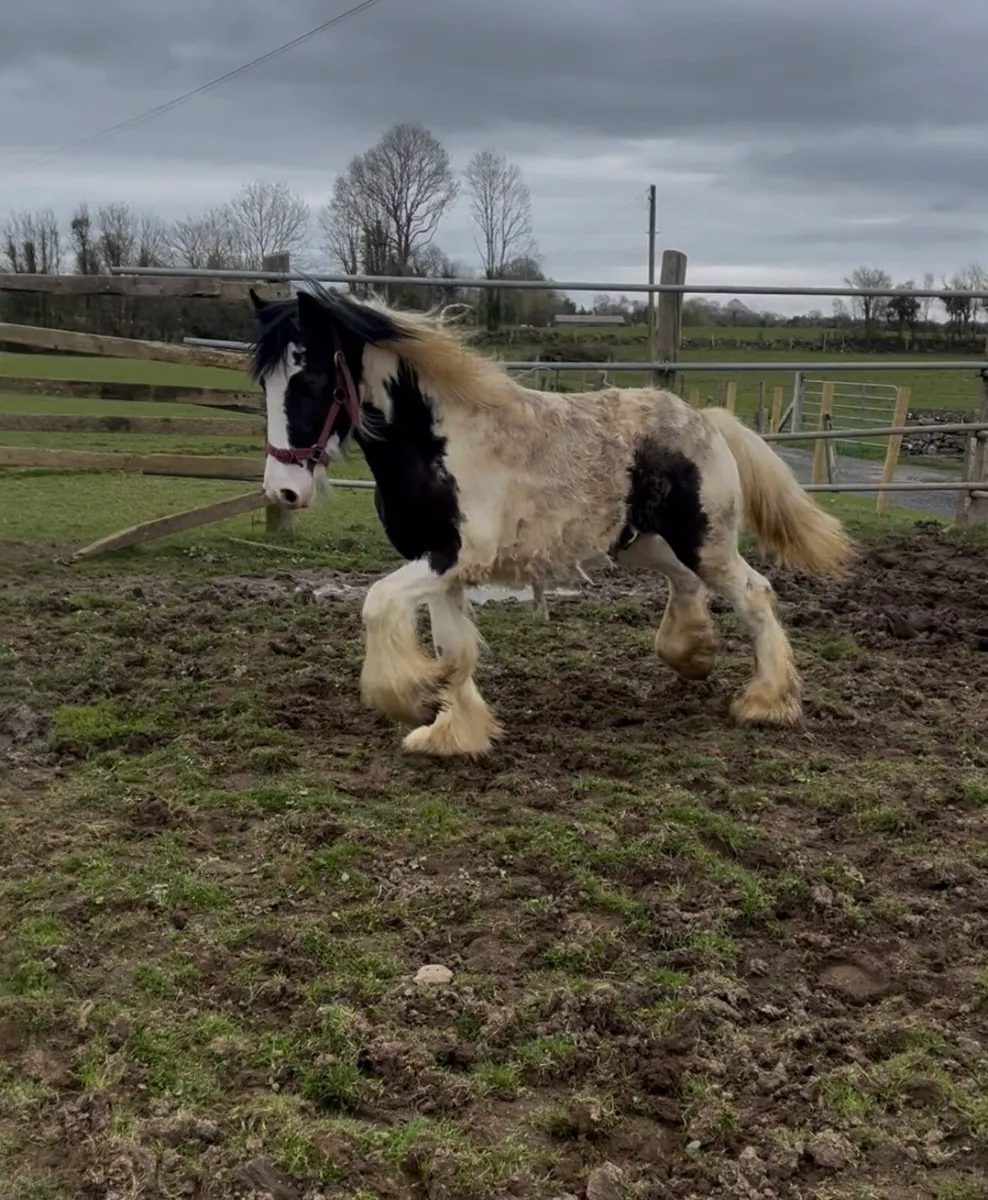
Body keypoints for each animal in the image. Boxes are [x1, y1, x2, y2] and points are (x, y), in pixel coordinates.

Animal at [248, 283, 854, 759]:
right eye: (265, 385)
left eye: (309, 379)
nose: (283, 489)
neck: (437, 445)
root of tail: (703, 419)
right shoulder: (439, 566)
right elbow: (455, 653)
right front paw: (455, 733)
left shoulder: (450, 557)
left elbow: (376, 604)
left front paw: (412, 700)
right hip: (642, 542)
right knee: (686, 584)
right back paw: (694, 656)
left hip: (705, 540)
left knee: (754, 593)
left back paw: (766, 703)